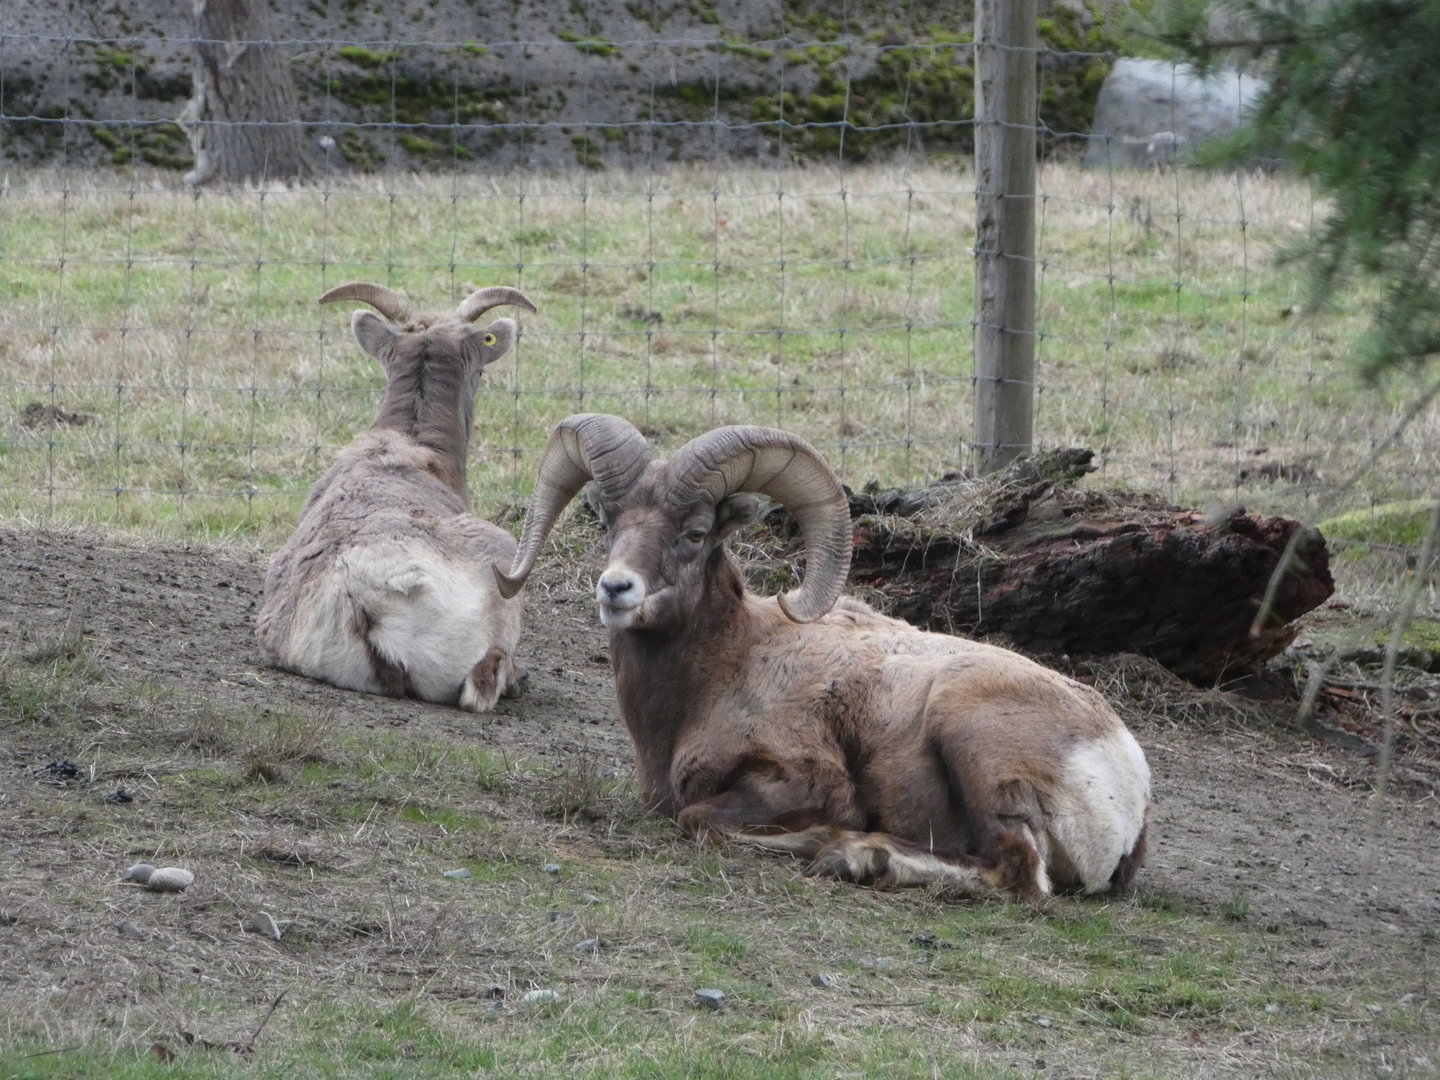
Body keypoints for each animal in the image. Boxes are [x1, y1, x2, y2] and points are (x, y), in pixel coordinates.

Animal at [495, 414, 1152, 900]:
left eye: (695, 533)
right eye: (609, 521)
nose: (616, 589)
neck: (726, 668)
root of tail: (1127, 774)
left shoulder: (803, 780)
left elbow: (698, 820)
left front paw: (828, 838)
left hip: (971, 737)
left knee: (1019, 875)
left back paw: (856, 857)